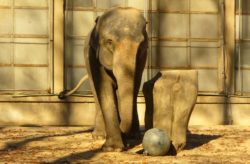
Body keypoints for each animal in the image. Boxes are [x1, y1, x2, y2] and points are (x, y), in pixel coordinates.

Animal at [59, 7, 147, 152]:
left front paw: (128, 140)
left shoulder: (142, 57)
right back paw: (99, 136)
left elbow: (134, 84)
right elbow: (105, 87)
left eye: (141, 44)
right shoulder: (93, 56)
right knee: (96, 92)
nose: (127, 142)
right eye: (109, 42)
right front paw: (113, 148)